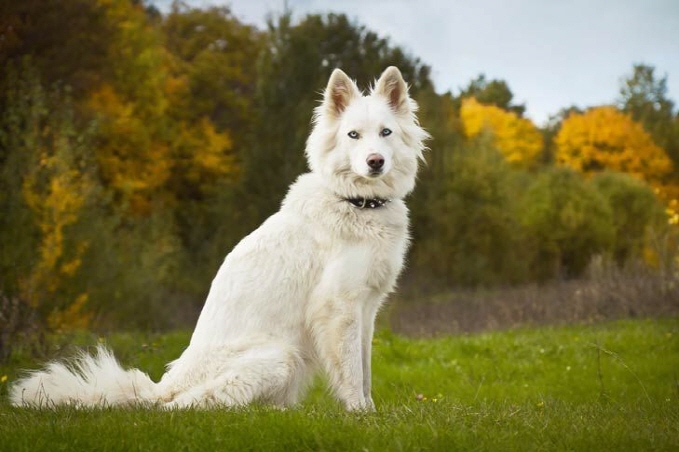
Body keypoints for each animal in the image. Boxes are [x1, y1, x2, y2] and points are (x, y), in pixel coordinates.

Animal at [10, 66, 430, 410]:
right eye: (353, 135)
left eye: (386, 133)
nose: (375, 162)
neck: (357, 202)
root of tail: (162, 387)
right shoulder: (338, 308)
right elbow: (352, 372)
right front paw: (360, 416)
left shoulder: (366, 310)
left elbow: (365, 368)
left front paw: (371, 412)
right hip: (281, 355)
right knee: (186, 406)